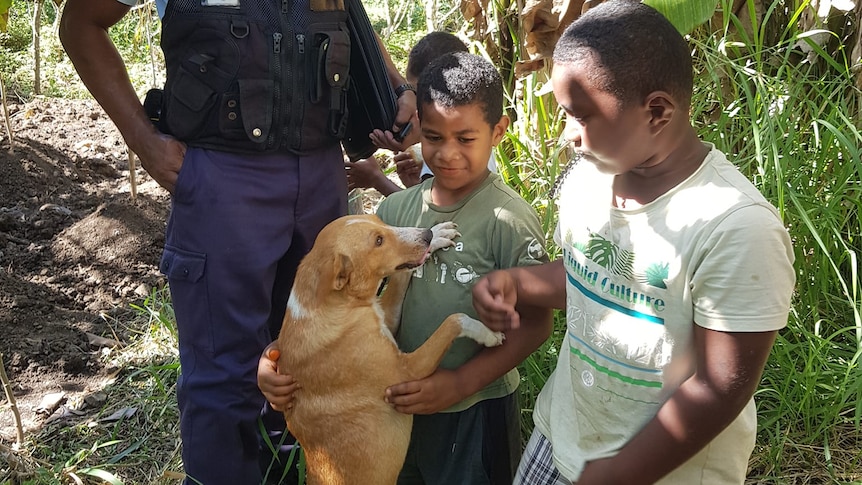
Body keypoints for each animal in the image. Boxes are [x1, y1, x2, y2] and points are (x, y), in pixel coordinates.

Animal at [276, 215, 506, 484]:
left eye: (379, 220)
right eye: (378, 241)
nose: (426, 234)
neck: (336, 307)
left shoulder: (389, 316)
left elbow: (401, 277)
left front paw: (438, 235)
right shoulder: (406, 372)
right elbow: (455, 319)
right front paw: (487, 333)